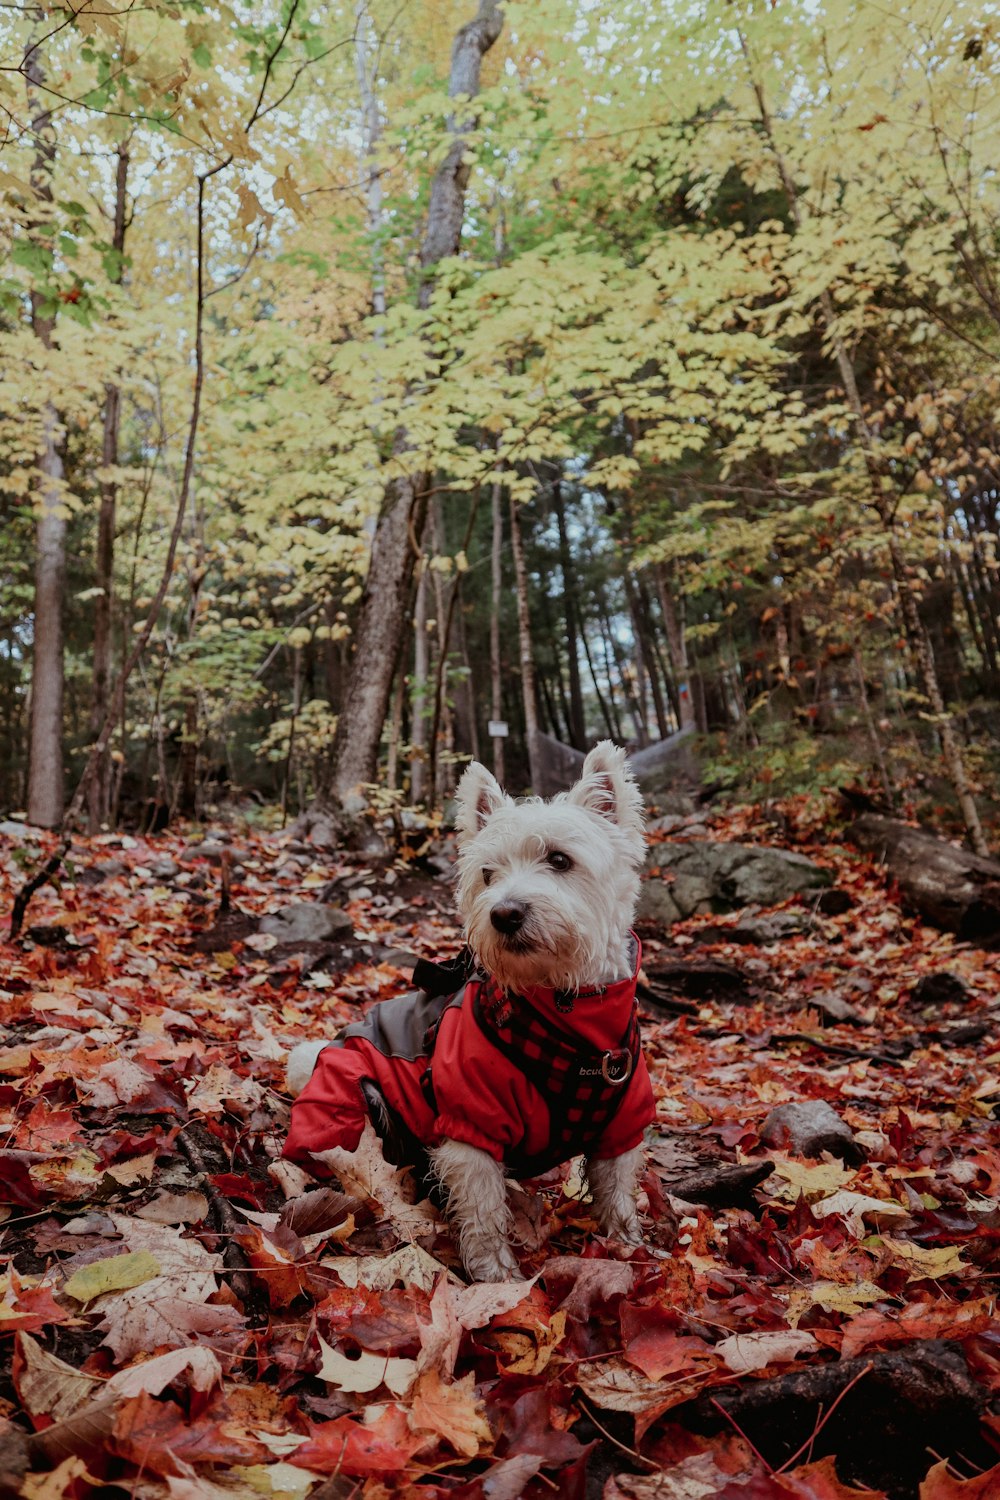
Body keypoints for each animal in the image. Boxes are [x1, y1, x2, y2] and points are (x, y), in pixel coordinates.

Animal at [284, 738, 653, 1278]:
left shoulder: (622, 1121)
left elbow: (618, 1191)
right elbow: (482, 1209)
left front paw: (631, 1247)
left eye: (560, 859)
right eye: (487, 874)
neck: (565, 1009)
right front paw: (495, 1274)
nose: (504, 913)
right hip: (353, 1105)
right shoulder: (470, 1120)